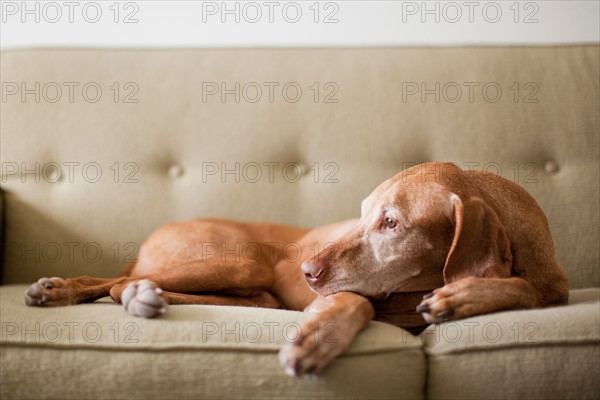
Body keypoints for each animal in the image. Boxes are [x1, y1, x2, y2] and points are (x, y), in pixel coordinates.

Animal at [24, 162, 568, 376]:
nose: (305, 270)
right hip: (238, 263)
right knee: (112, 284)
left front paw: (468, 294)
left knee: (126, 287)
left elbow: (535, 292)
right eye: (362, 213)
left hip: (253, 288)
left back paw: (138, 296)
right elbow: (351, 303)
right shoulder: (349, 296)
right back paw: (66, 290)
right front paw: (316, 339)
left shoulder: (553, 285)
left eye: (391, 222)